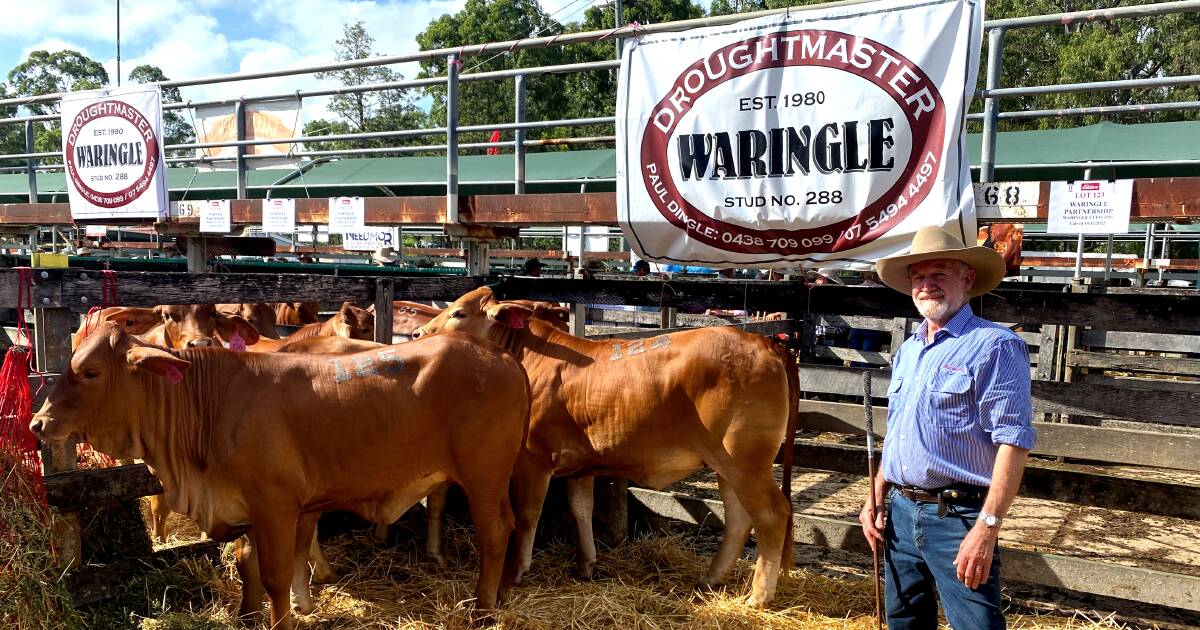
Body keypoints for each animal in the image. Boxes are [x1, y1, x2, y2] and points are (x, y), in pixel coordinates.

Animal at [31, 324, 530, 628]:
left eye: (89, 371)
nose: (38, 423)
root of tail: (502, 356)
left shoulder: (275, 505)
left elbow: (274, 574)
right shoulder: (247, 506)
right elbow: (245, 562)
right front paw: (245, 617)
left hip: (483, 476)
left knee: (494, 532)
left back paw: (483, 609)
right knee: (513, 523)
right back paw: (503, 592)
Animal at [417, 286, 801, 607]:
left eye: (459, 313)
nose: (419, 334)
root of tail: (765, 343)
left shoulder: (533, 460)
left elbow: (528, 516)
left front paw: (515, 573)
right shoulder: (579, 464)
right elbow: (581, 509)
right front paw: (586, 564)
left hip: (745, 462)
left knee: (772, 515)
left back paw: (758, 597)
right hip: (728, 465)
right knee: (739, 518)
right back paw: (710, 579)